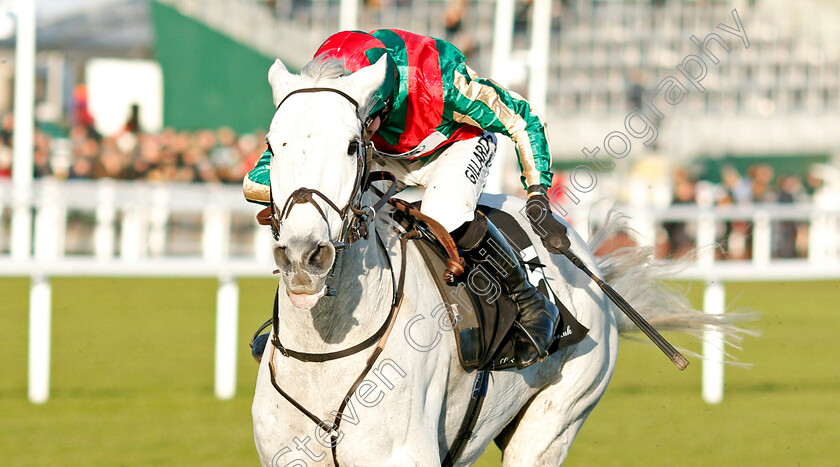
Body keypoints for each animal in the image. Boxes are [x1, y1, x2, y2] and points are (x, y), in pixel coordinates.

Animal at [251, 56, 748, 466]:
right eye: (273, 145)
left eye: (353, 145)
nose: (303, 256)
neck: (323, 355)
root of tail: (589, 262)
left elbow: (517, 115)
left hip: (554, 422)